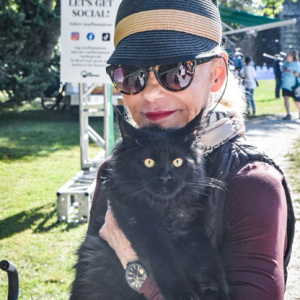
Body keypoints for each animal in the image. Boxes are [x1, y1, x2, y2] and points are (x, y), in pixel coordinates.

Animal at [71, 110, 230, 300]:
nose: (165, 178)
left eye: (177, 162)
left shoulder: (190, 230)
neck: (164, 208)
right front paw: (183, 294)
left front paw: (218, 293)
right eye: (149, 162)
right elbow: (166, 263)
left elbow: (209, 263)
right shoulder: (144, 227)